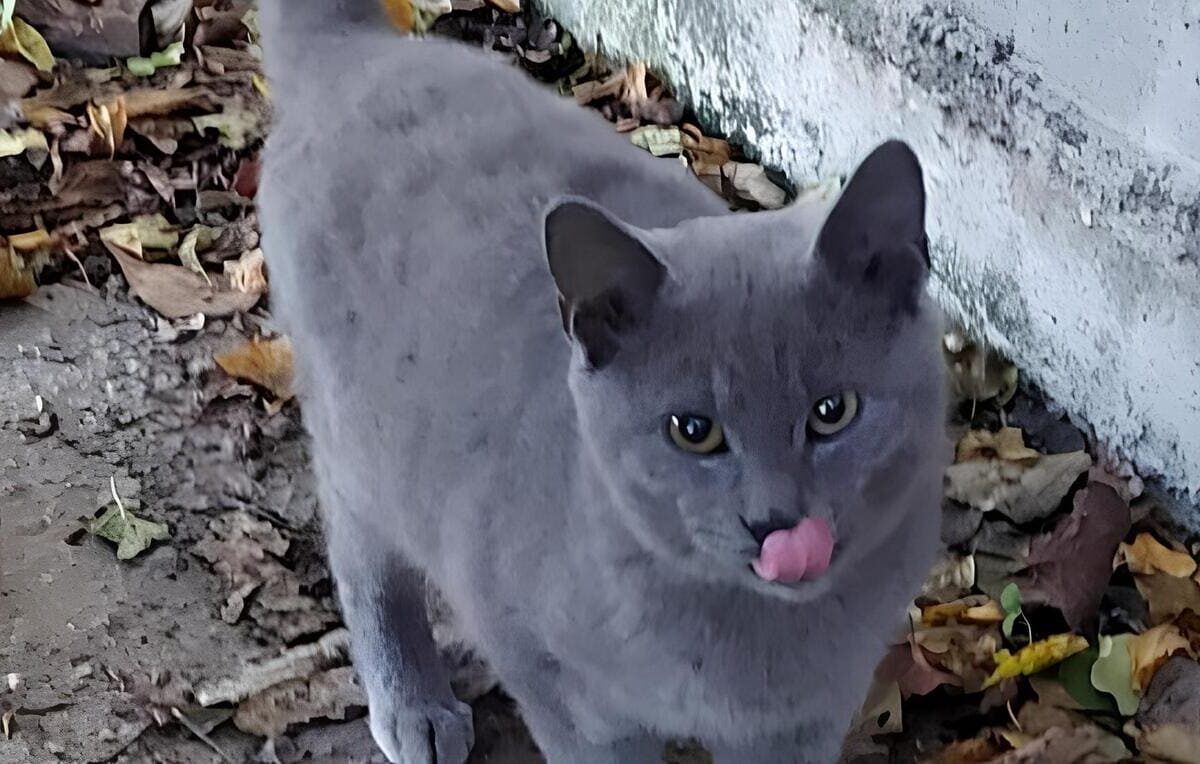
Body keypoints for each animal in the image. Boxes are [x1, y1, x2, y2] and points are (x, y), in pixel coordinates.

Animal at [260, 2, 945, 758]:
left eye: (833, 411)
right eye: (693, 431)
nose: (777, 523)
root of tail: (362, 50)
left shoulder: (809, 719)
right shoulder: (555, 684)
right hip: (359, 441)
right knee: (362, 553)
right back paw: (416, 706)